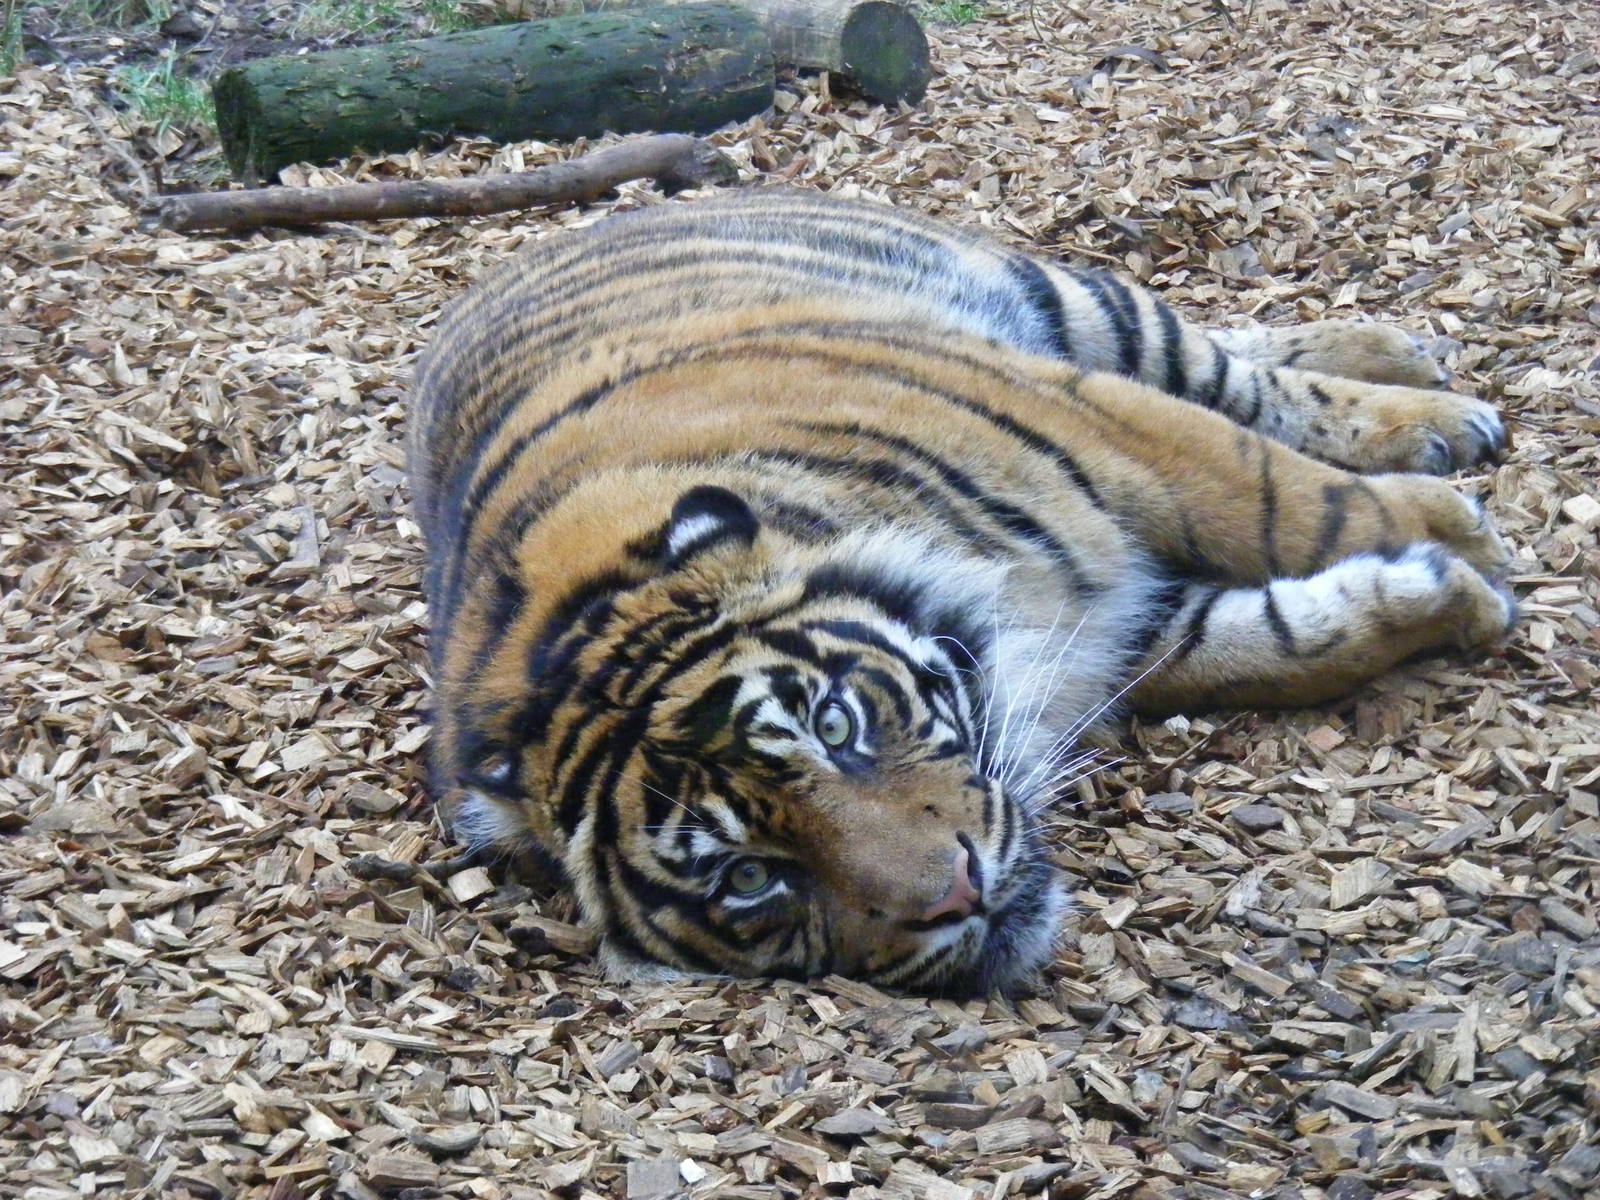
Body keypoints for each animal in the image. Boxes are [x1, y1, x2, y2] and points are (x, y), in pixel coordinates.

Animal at [407, 186, 1514, 995]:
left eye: (837, 725)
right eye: (749, 878)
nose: (958, 899)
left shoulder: (1100, 429)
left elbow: (1291, 500)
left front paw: (1469, 546)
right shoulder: (1132, 620)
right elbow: (1280, 643)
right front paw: (1441, 592)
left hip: (1069, 312)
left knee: (1223, 369)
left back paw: (1419, 389)